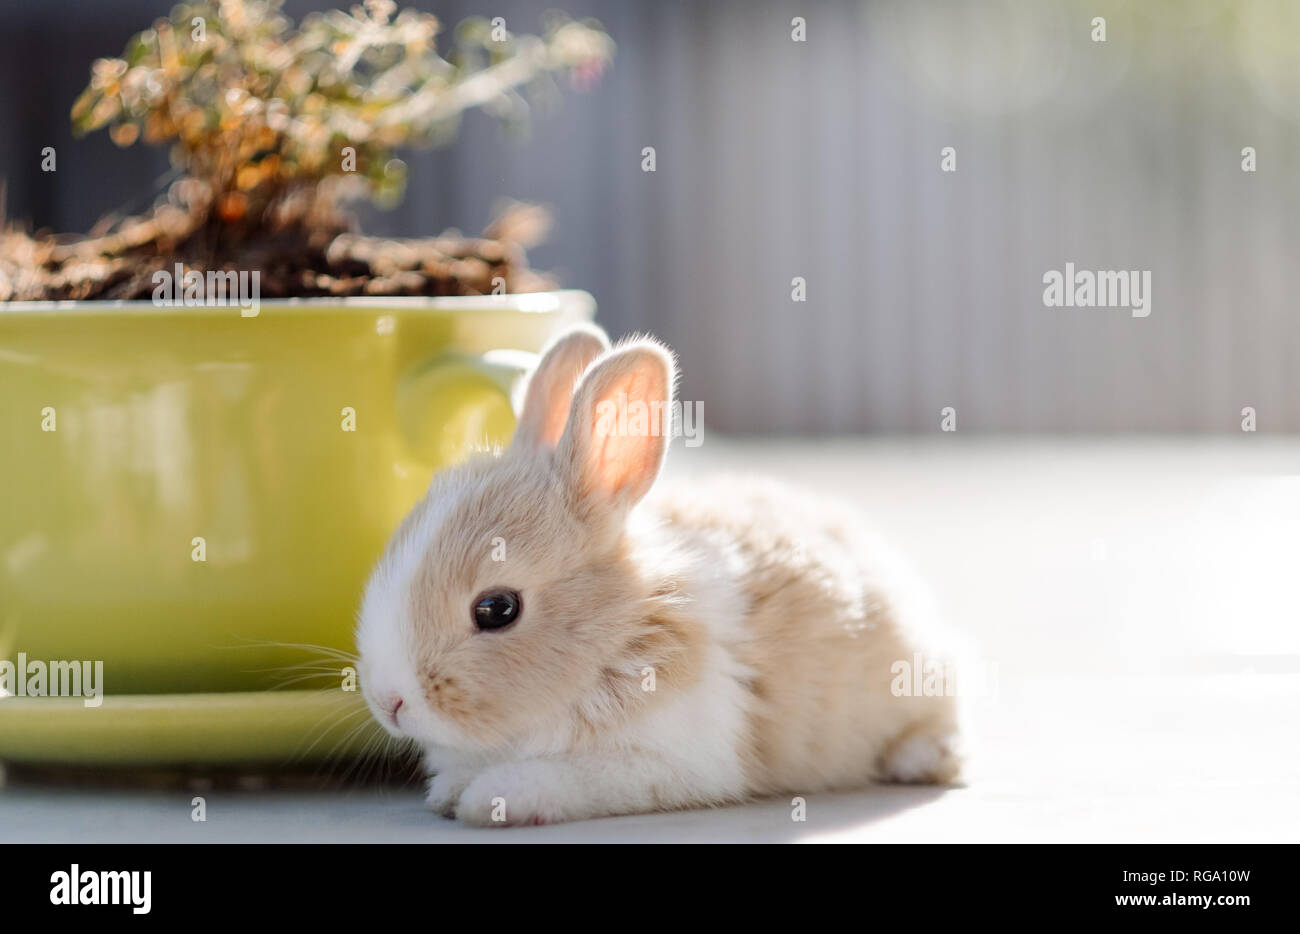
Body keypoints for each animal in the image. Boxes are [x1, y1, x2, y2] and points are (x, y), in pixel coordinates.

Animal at [361, 323, 961, 827]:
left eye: (496, 609)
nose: (390, 703)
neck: (619, 633)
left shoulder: (661, 761)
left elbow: (565, 777)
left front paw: (491, 800)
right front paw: (449, 793)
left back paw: (922, 758)